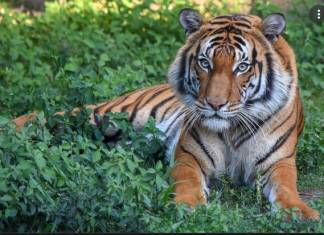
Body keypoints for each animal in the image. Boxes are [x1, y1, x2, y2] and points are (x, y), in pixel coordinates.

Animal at [13, 7, 318, 220]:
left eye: (242, 67)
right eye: (204, 62)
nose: (215, 104)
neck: (232, 128)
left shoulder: (279, 162)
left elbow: (287, 187)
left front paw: (301, 214)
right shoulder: (190, 155)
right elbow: (188, 181)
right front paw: (189, 206)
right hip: (105, 115)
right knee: (50, 115)